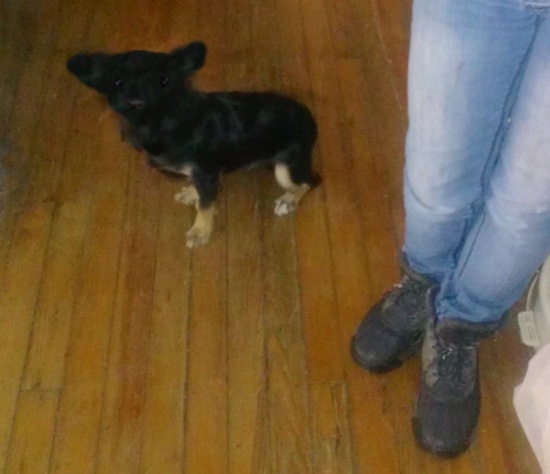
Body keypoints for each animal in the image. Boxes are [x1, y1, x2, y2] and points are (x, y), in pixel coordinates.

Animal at [67, 41, 322, 248]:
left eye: (164, 80)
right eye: (117, 82)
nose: (134, 102)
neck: (164, 123)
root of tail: (310, 119)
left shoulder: (206, 172)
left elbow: (205, 205)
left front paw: (200, 232)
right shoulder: (206, 173)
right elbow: (201, 192)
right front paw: (192, 193)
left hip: (285, 168)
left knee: (309, 183)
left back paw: (288, 200)